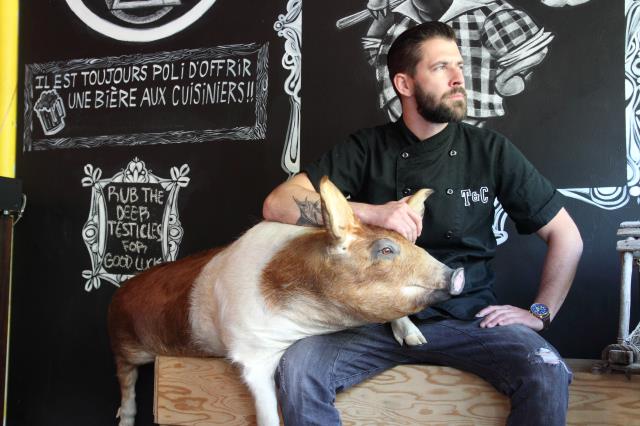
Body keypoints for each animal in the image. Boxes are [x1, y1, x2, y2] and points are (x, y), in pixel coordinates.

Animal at [107, 176, 462, 426]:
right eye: (386, 249)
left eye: (413, 244)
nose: (455, 273)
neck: (318, 319)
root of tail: (121, 289)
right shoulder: (251, 353)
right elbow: (267, 414)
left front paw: (416, 341)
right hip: (122, 341)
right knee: (125, 378)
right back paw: (124, 419)